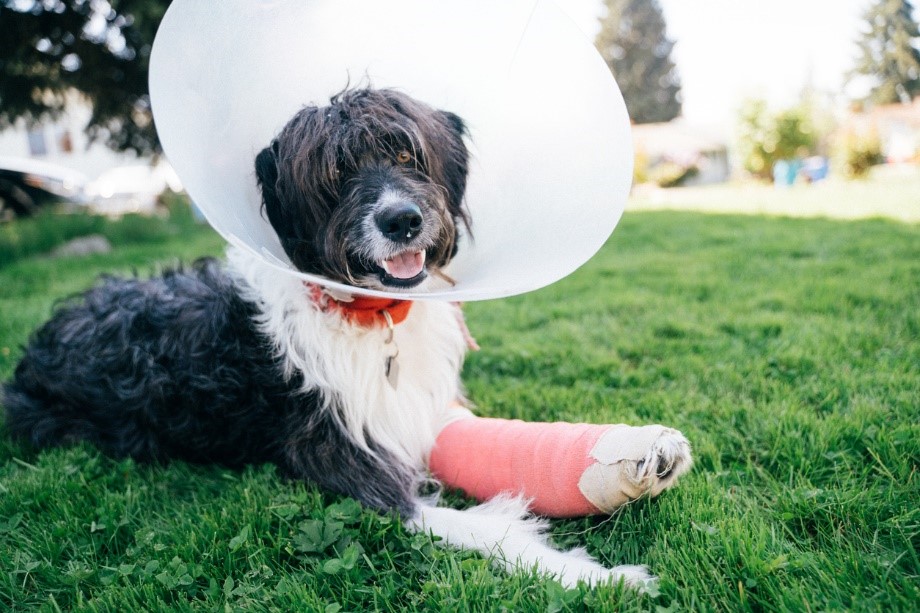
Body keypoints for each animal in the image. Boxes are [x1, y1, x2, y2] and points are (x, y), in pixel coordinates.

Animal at [1, 87, 688, 588]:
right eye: (333, 174)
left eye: (408, 155)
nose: (402, 219)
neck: (369, 316)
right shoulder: (341, 459)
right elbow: (472, 524)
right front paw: (597, 577)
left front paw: (641, 451)